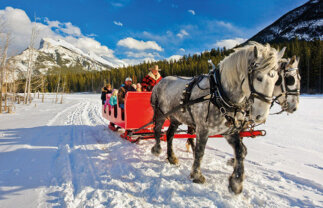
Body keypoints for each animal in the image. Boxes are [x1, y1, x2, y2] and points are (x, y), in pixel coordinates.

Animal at [151, 42, 286, 195]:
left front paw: (236, 182)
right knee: (157, 130)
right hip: (160, 113)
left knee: (169, 135)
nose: (260, 116)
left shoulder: (229, 131)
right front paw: (197, 175)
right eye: (259, 78)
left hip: (175, 117)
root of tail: (161, 81)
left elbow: (240, 151)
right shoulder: (203, 129)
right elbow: (200, 151)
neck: (219, 93)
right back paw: (157, 149)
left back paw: (172, 157)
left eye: (277, 80)